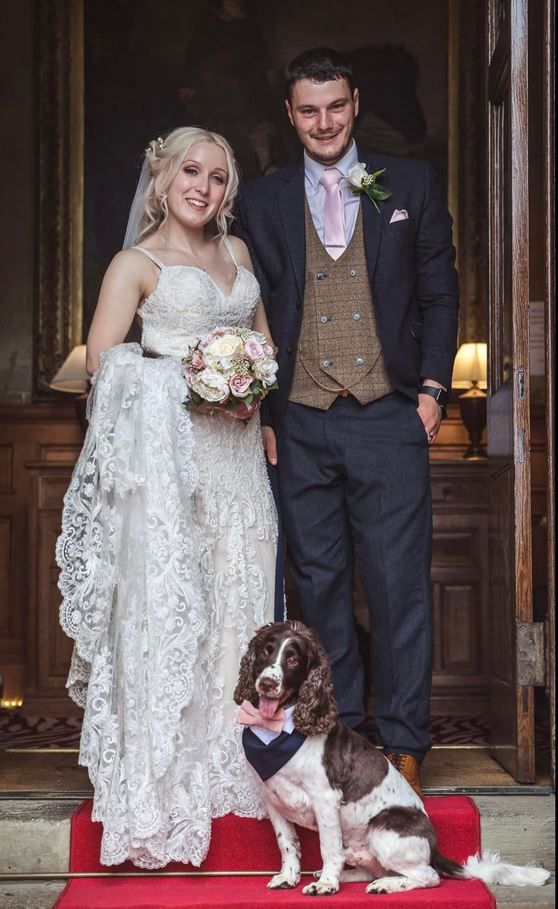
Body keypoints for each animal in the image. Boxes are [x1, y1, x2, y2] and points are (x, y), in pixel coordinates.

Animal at [235, 616, 552, 892]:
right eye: (266, 651)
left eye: (293, 659)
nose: (266, 683)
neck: (278, 730)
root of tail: (433, 847)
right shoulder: (273, 797)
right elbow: (287, 842)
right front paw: (289, 877)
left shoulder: (325, 799)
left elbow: (328, 847)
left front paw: (326, 885)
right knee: (371, 868)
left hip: (383, 827)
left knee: (429, 876)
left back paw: (384, 885)